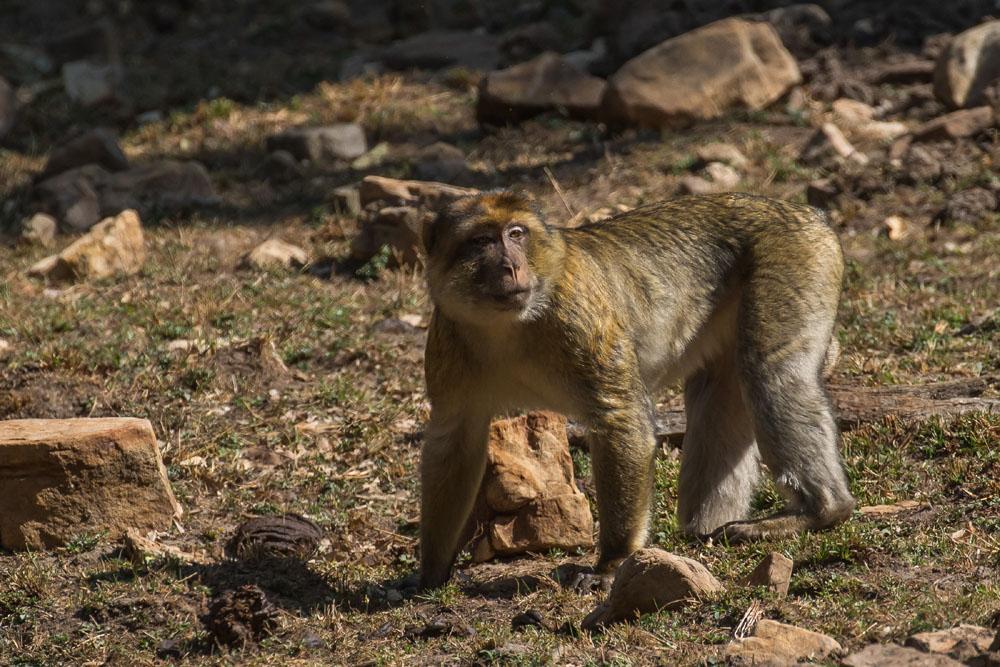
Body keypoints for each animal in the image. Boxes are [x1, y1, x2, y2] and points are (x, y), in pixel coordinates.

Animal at [414, 189, 852, 588]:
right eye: (482, 241)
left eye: (516, 233)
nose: (510, 266)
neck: (508, 326)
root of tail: (805, 213)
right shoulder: (447, 339)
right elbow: (455, 440)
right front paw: (429, 572)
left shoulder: (579, 320)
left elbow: (620, 418)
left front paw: (612, 562)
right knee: (720, 391)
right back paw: (700, 531)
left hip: (795, 261)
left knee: (769, 372)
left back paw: (820, 511)